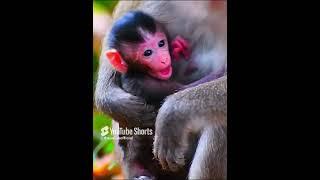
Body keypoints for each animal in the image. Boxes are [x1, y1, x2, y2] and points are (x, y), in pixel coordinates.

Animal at [95, 0, 228, 179]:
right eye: (147, 53)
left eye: (161, 44)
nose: (164, 59)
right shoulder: (142, 82)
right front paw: (113, 100)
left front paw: (172, 114)